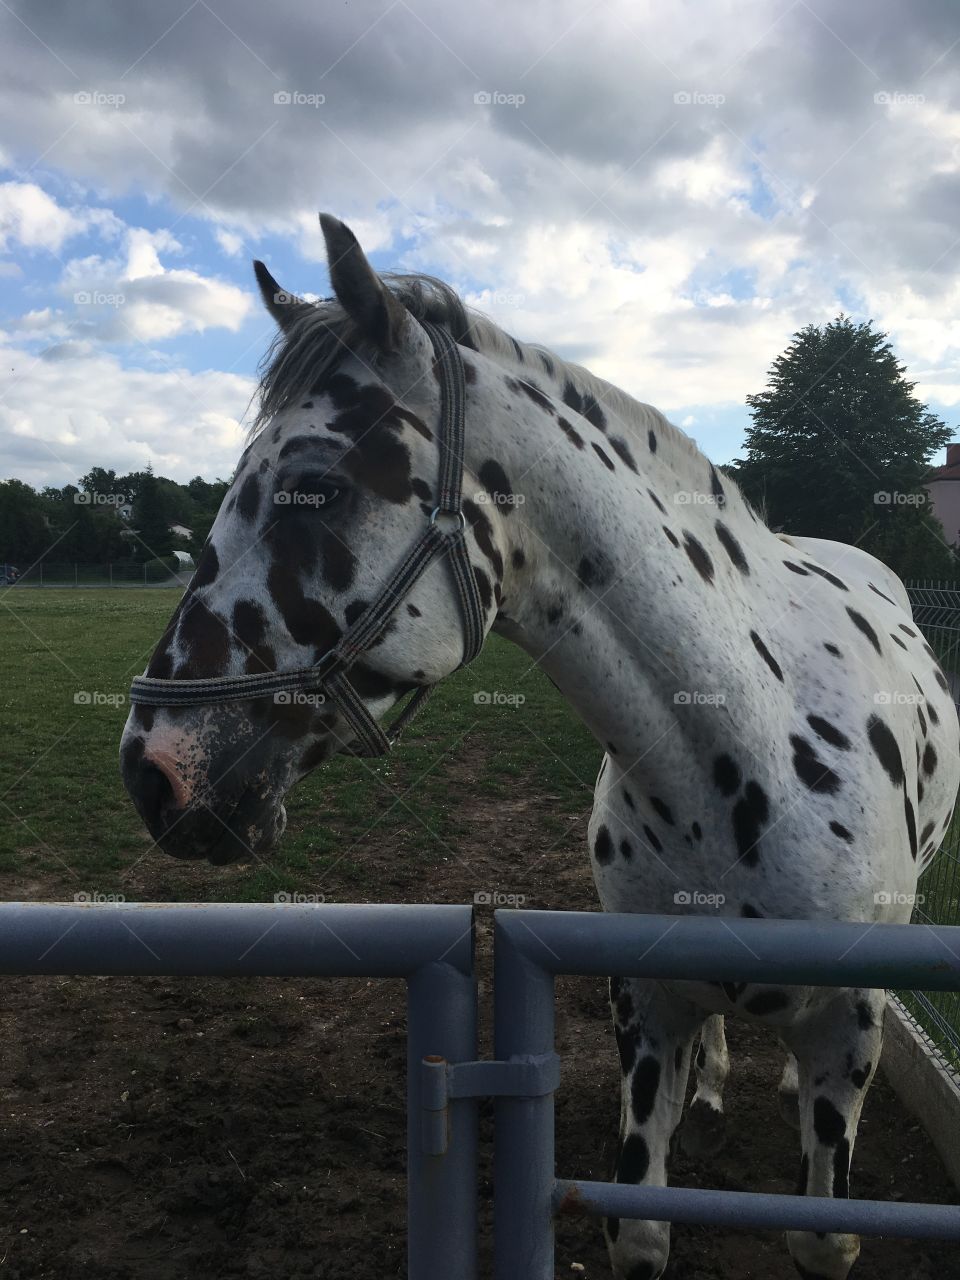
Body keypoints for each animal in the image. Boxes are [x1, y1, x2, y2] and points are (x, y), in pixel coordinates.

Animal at [120, 214, 959, 1280]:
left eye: (314, 485)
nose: (154, 770)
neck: (749, 754)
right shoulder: (645, 1011)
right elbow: (639, 1225)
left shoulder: (846, 1041)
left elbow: (824, 1237)